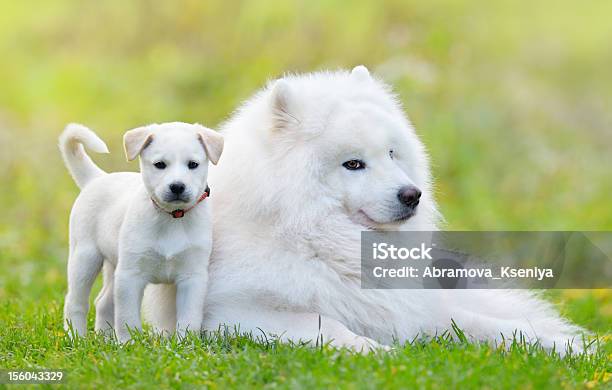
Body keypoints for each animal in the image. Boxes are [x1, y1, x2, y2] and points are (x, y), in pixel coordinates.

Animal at [58, 122, 222, 342]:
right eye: (160, 164)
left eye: (193, 164)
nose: (177, 186)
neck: (172, 218)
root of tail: (97, 178)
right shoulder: (130, 276)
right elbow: (127, 317)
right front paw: (127, 344)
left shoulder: (192, 277)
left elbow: (189, 318)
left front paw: (184, 343)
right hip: (85, 258)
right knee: (75, 302)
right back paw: (77, 338)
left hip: (113, 266)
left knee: (103, 302)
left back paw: (105, 339)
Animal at [142, 66, 584, 354]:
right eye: (353, 164)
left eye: (391, 153)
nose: (412, 195)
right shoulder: (235, 313)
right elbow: (331, 327)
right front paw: (383, 355)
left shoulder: (408, 309)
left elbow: (489, 326)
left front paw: (570, 346)